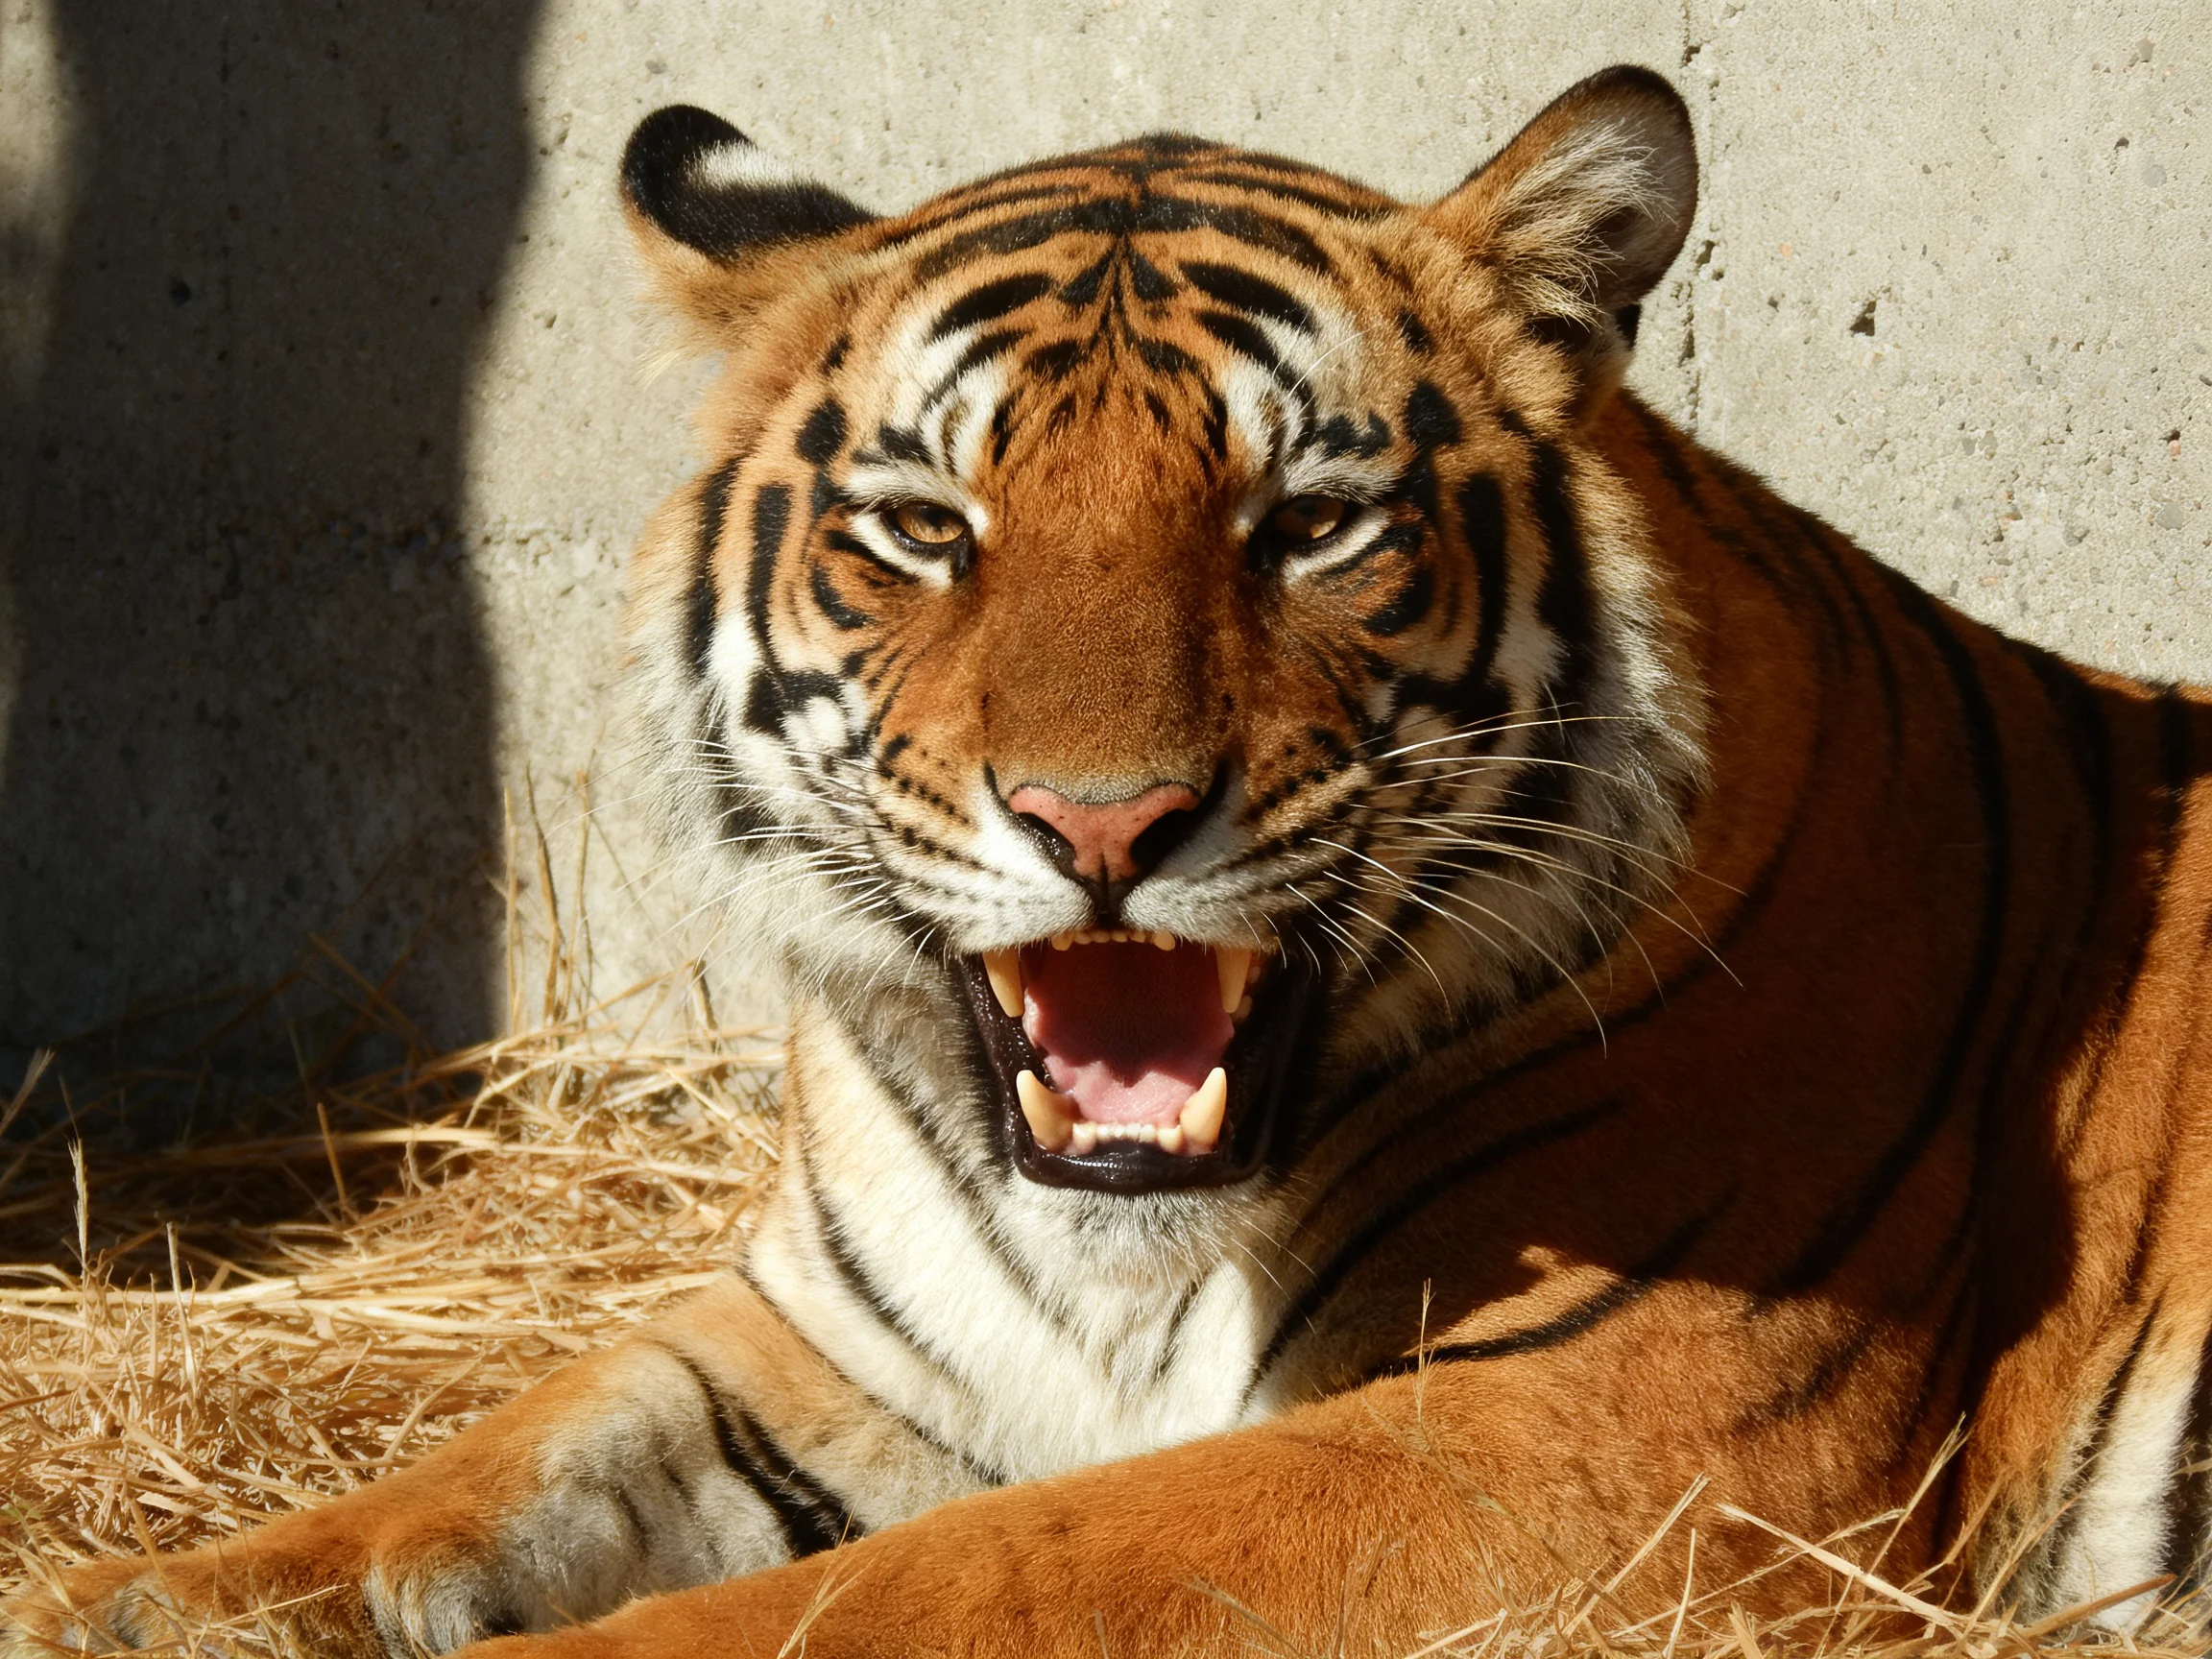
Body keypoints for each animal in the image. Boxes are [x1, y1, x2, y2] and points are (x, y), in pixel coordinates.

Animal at [14, 59, 2212, 1659]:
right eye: (924, 527)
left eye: (1307, 524)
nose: (1099, 824)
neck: (1112, 1270)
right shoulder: (805, 1349)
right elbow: (488, 1467)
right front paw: (125, 1602)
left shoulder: (1595, 1442)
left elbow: (941, 1582)